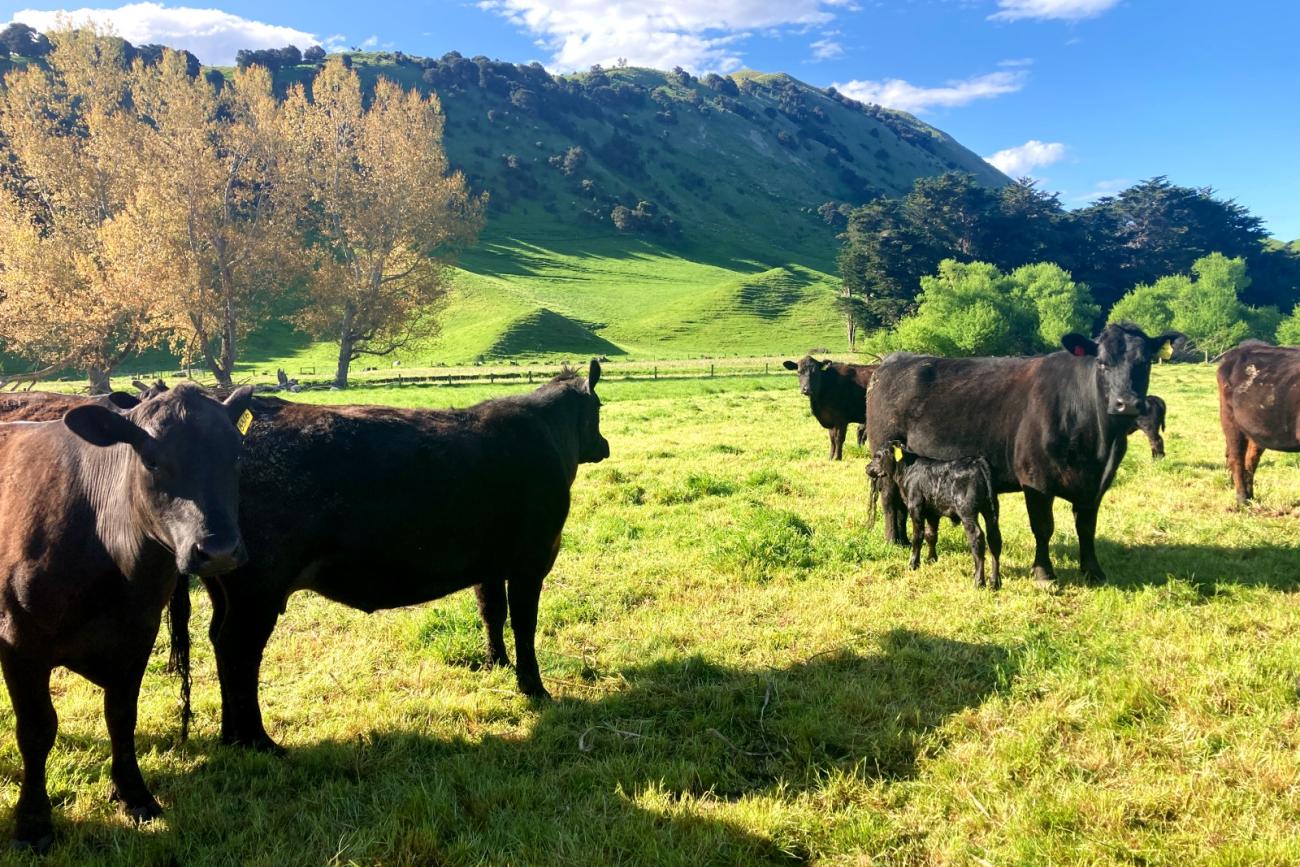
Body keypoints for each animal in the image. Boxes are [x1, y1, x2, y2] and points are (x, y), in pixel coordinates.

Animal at [0, 382, 252, 852]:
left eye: (237, 453)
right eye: (151, 459)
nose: (220, 551)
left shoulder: (137, 635)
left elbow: (121, 716)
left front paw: (134, 795)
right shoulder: (20, 641)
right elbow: (37, 729)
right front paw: (33, 823)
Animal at [195, 358, 611, 753]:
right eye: (599, 406)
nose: (604, 446)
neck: (548, 436)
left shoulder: (489, 565)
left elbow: (492, 612)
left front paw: (497, 663)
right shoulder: (533, 559)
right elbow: (524, 624)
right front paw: (534, 687)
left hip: (226, 587)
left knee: (219, 640)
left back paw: (231, 735)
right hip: (259, 588)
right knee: (239, 648)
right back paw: (258, 740)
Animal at [868, 441, 998, 590]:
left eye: (878, 456)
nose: (867, 468)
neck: (908, 470)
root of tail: (978, 461)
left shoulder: (915, 507)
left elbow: (918, 536)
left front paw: (913, 564)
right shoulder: (932, 512)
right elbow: (931, 535)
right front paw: (931, 560)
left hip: (968, 512)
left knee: (977, 538)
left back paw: (979, 582)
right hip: (991, 510)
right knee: (994, 539)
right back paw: (995, 582)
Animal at [1216, 337, 1300, 501]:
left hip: (1256, 428)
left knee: (1250, 459)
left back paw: (1250, 496)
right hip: (1229, 419)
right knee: (1236, 458)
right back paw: (1242, 499)